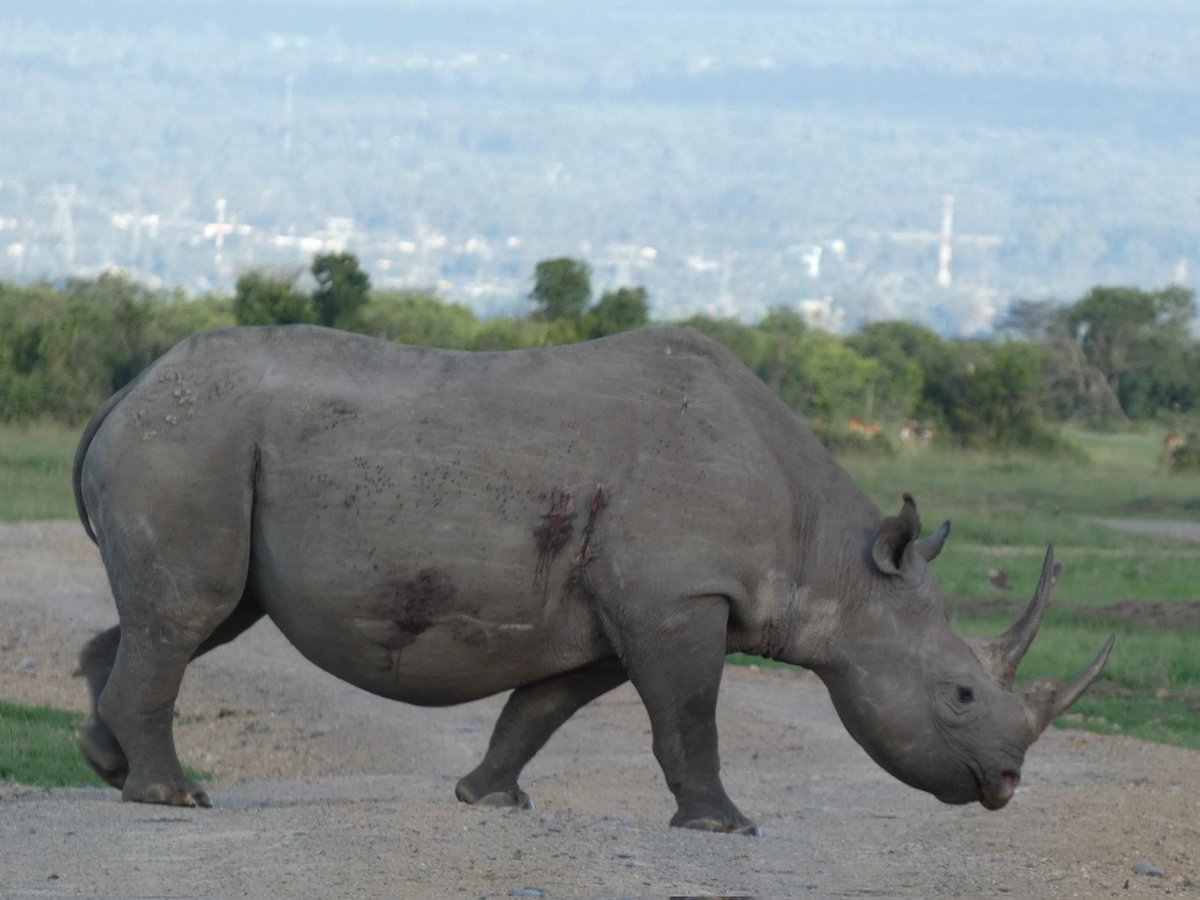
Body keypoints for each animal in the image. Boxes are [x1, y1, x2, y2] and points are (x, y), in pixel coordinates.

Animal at [74, 325, 1112, 833]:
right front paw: (724, 828)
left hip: (195, 444)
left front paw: (488, 800)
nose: (1007, 783)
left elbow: (542, 708)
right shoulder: (679, 598)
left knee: (193, 616)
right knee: (190, 612)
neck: (837, 563)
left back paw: (109, 766)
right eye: (962, 694)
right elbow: (690, 717)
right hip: (191, 440)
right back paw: (172, 800)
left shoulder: (627, 609)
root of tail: (122, 392)